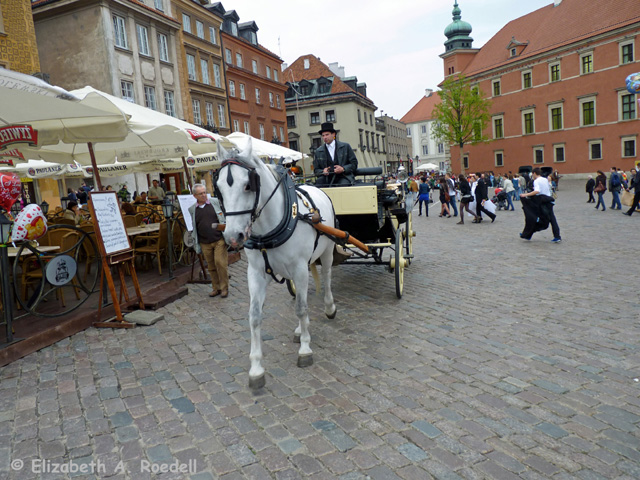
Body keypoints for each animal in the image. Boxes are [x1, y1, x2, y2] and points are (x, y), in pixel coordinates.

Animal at [215, 137, 338, 388]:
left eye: (248, 185)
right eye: (219, 189)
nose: (233, 237)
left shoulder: (300, 269)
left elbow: (301, 308)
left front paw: (305, 350)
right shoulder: (256, 273)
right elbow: (254, 315)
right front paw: (256, 368)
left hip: (327, 251)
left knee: (328, 276)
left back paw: (329, 307)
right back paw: (300, 330)